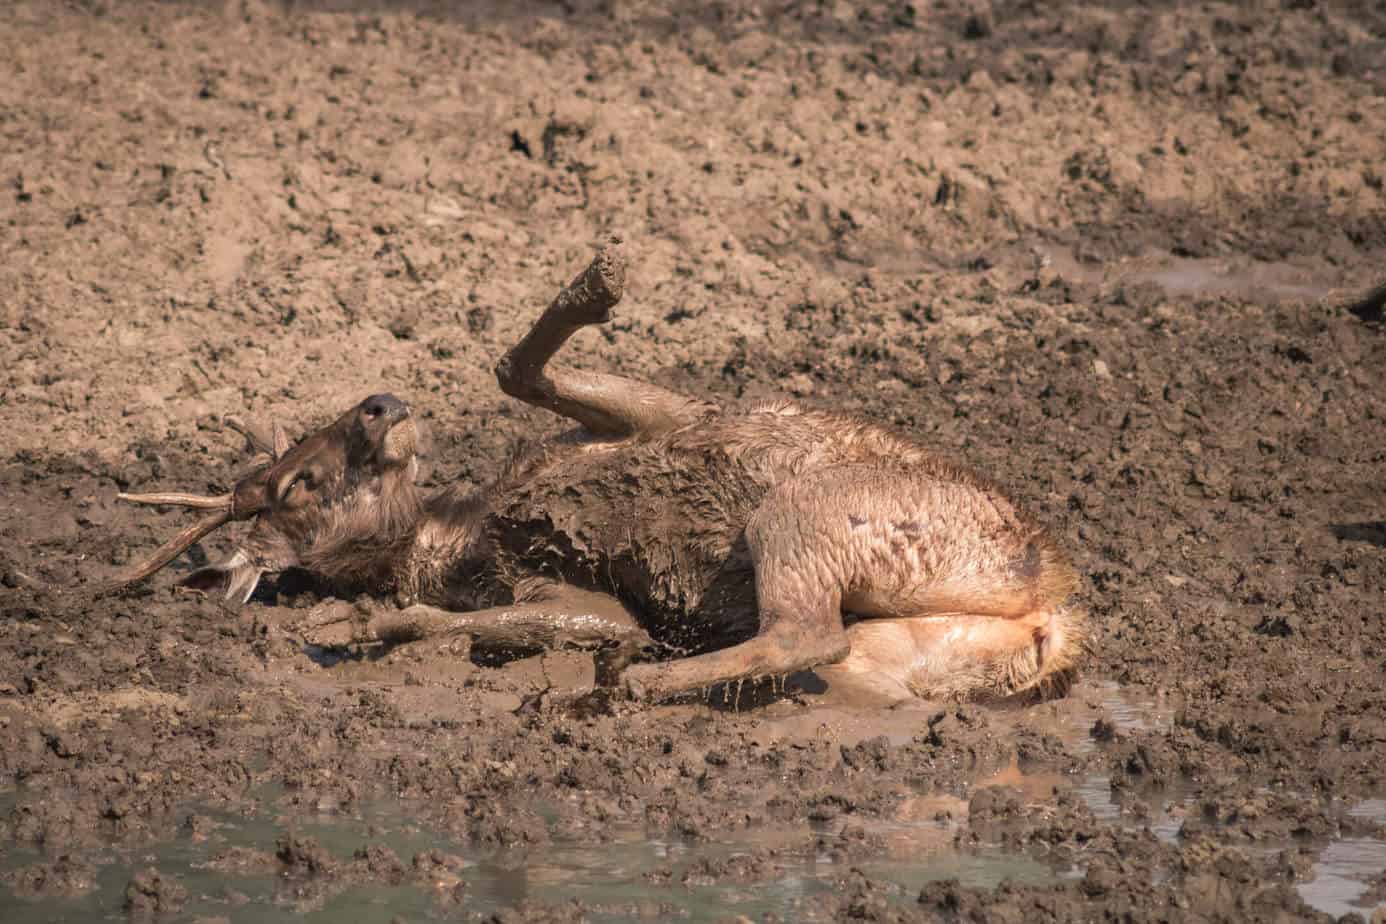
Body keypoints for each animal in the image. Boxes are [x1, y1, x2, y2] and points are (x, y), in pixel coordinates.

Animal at [102, 238, 1085, 705]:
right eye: (300, 484)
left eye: (310, 453)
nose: (379, 404)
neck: (454, 530)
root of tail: (1057, 614)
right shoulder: (579, 590)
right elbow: (494, 620)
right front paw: (366, 623)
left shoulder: (659, 417)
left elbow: (517, 367)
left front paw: (597, 279)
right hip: (834, 569)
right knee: (809, 637)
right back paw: (636, 681)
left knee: (806, 632)